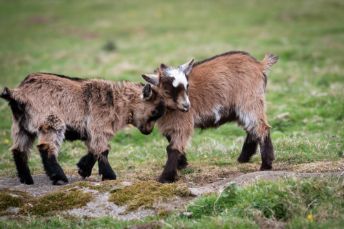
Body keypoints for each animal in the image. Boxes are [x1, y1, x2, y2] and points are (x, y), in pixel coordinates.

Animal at [1, 73, 165, 184]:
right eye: (154, 112)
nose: (148, 132)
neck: (115, 101)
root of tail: (19, 93)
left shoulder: (91, 132)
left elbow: (93, 150)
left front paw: (83, 169)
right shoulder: (99, 127)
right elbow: (103, 150)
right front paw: (110, 176)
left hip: (21, 126)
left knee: (18, 150)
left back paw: (26, 179)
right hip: (51, 122)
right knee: (46, 147)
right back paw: (59, 178)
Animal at [143, 50, 280, 182]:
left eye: (187, 87)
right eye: (166, 91)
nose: (187, 106)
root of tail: (260, 65)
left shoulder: (183, 123)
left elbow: (173, 148)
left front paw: (165, 178)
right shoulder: (169, 125)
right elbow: (171, 141)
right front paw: (182, 164)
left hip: (250, 101)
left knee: (261, 128)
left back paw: (266, 165)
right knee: (251, 128)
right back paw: (244, 158)